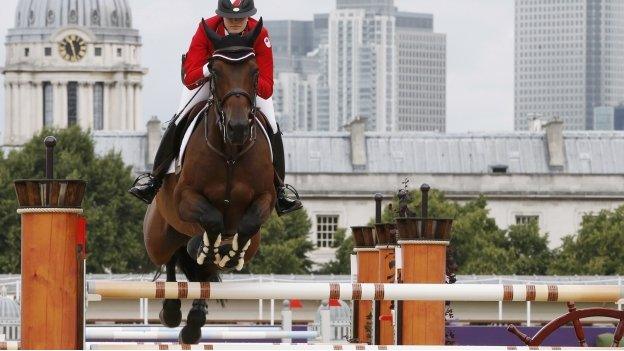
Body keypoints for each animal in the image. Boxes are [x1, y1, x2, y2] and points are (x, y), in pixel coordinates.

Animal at [144, 18, 276, 344]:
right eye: (215, 72)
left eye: (255, 72)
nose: (238, 127)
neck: (230, 152)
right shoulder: (186, 199)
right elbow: (213, 220)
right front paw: (208, 246)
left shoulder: (265, 199)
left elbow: (247, 224)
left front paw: (229, 252)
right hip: (159, 237)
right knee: (172, 258)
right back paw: (173, 310)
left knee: (202, 274)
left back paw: (194, 321)